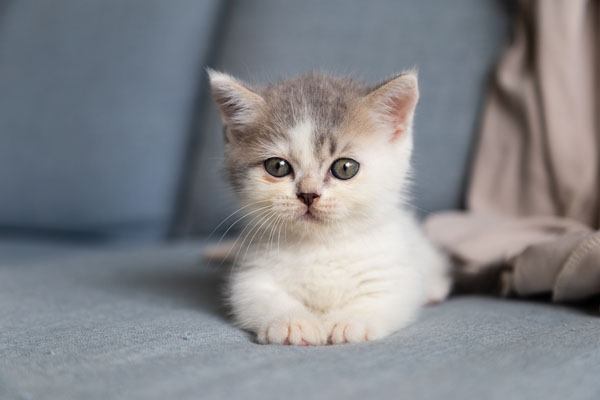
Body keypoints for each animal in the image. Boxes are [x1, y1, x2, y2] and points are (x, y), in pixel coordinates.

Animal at [209, 70, 448, 346]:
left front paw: (351, 321)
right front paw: (293, 323)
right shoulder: (251, 277)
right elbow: (260, 298)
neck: (320, 246)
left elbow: (382, 296)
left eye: (345, 168)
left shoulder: (395, 275)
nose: (308, 194)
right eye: (277, 167)